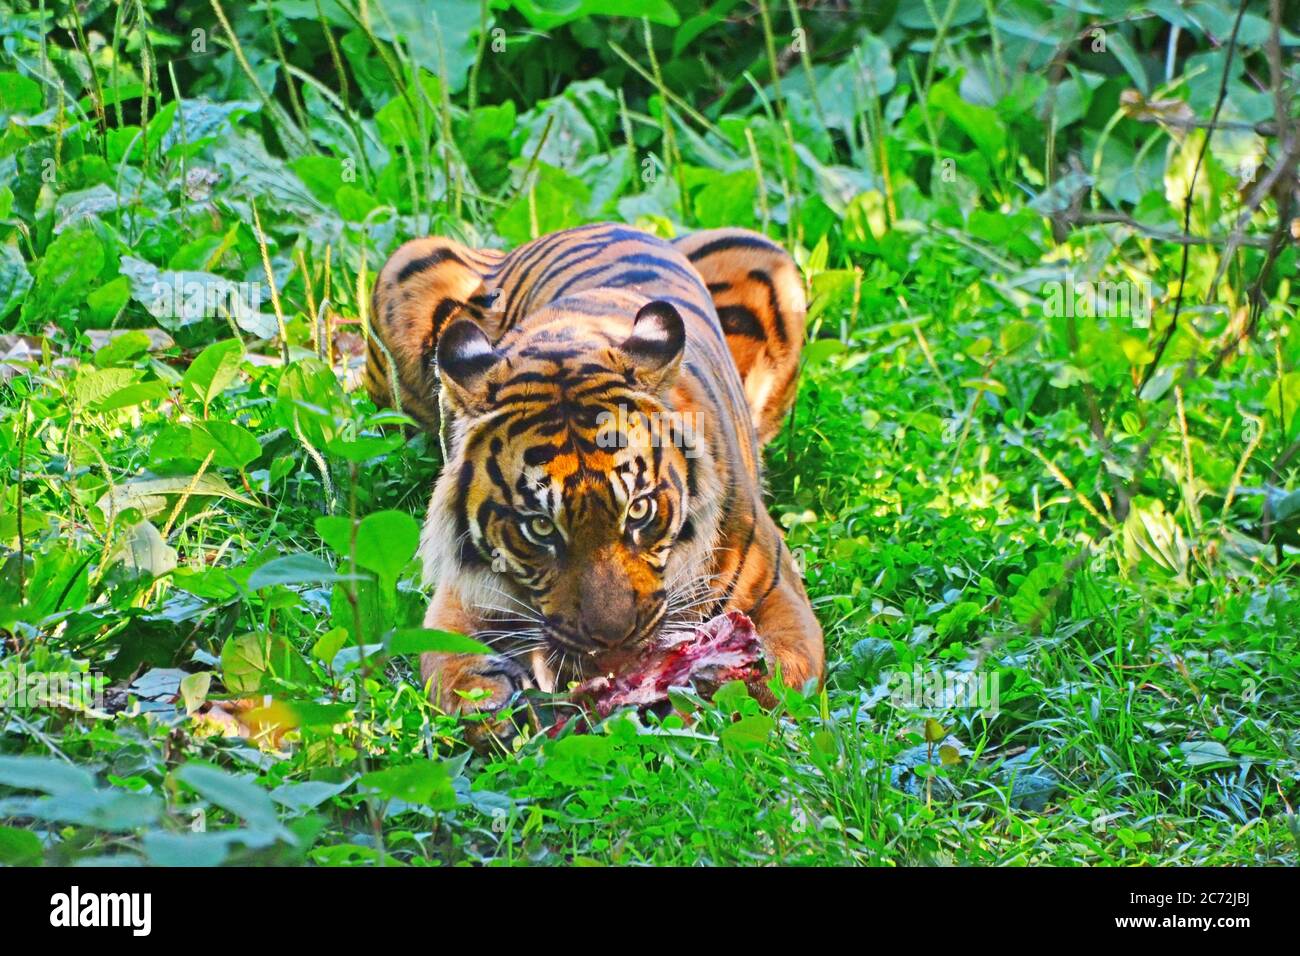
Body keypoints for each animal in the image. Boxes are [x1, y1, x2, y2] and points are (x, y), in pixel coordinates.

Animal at [365, 222, 824, 738]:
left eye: (639, 509)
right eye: (540, 527)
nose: (614, 644)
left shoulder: (781, 597)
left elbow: (769, 683)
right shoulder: (460, 595)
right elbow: (445, 663)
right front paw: (490, 709)